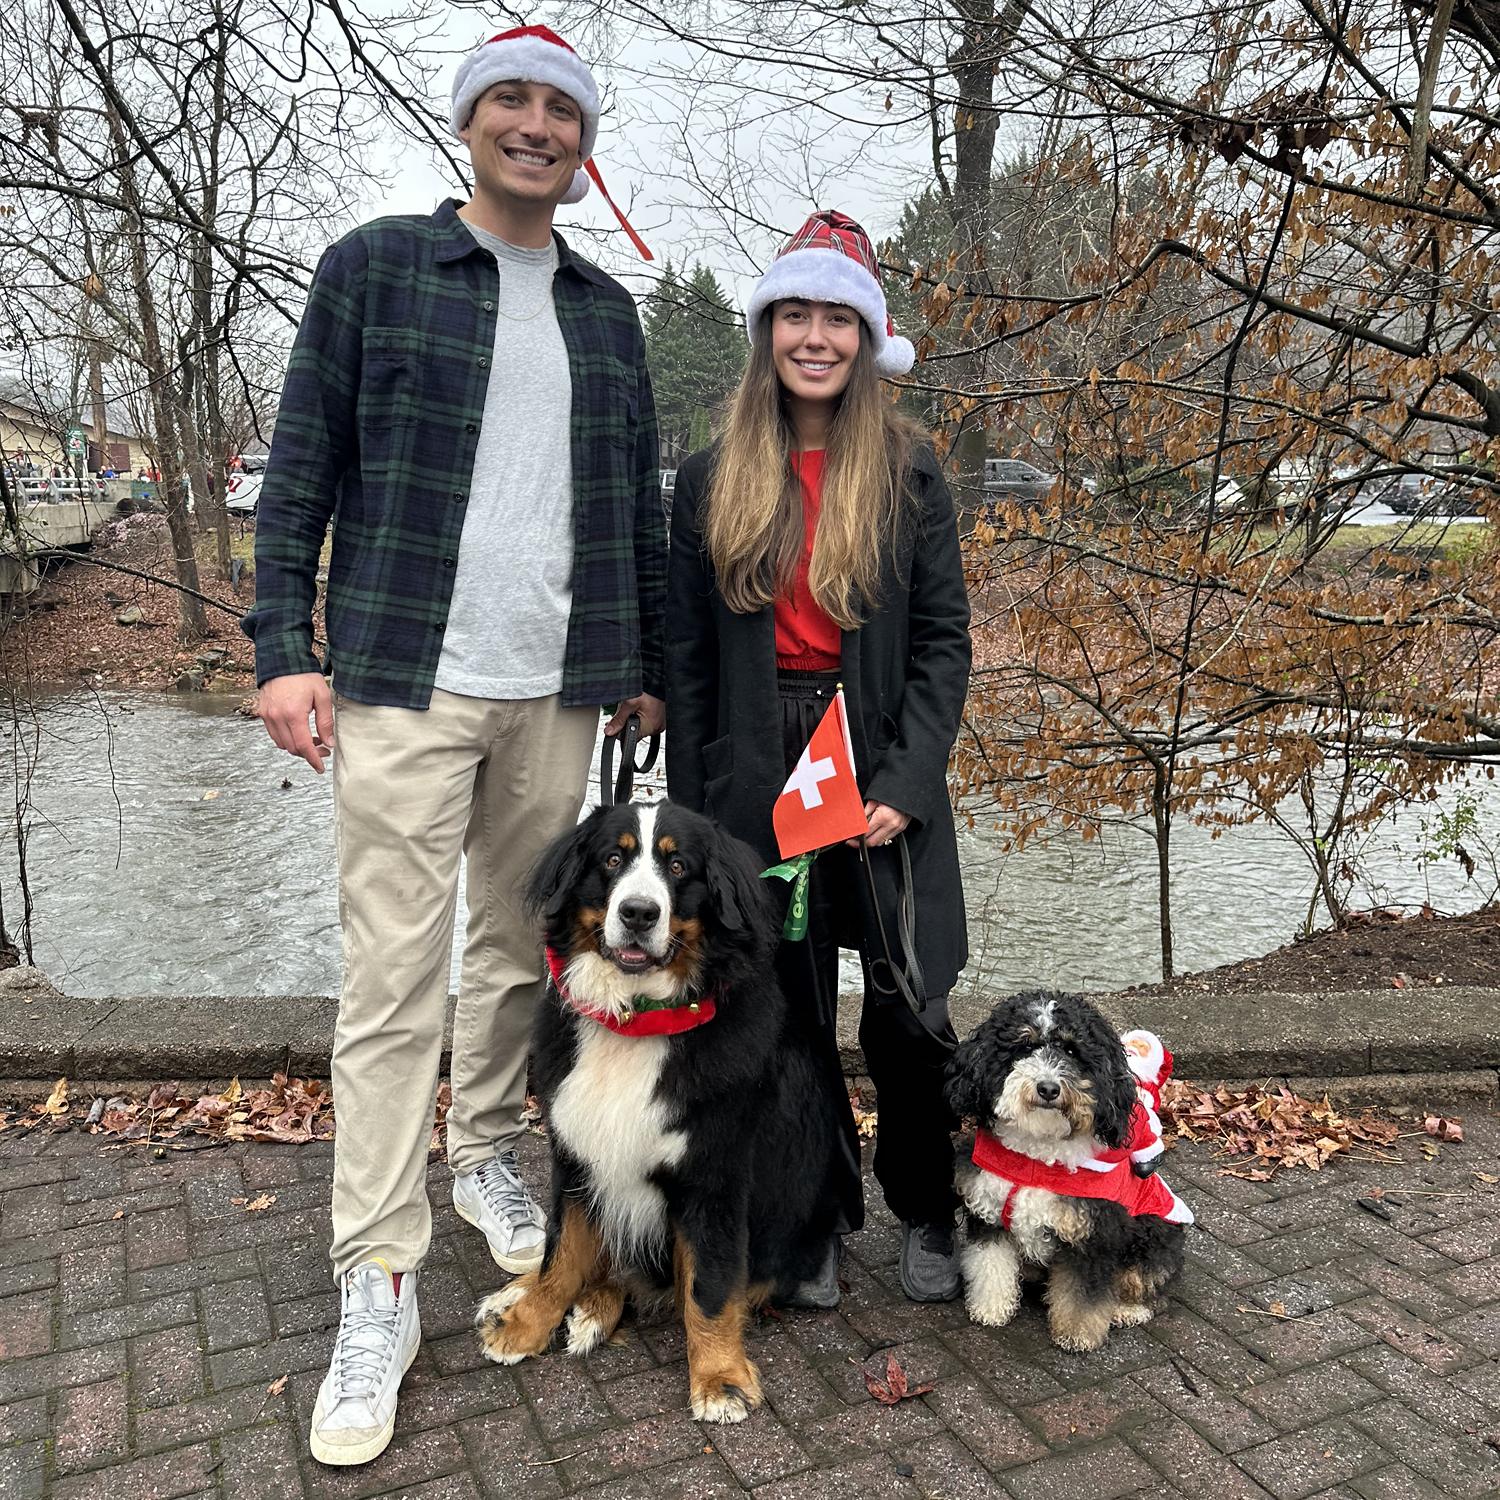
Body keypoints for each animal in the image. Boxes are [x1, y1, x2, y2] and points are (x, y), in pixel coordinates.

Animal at [471, 798, 846, 1416]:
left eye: (678, 867)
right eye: (612, 859)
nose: (640, 913)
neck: (636, 1020)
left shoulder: (714, 1176)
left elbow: (710, 1288)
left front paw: (719, 1377)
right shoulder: (577, 1156)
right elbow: (562, 1252)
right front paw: (528, 1322)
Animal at [942, 990, 1188, 1356]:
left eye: (1072, 1051)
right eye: (1024, 1046)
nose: (1048, 1088)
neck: (1037, 1159)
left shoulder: (1092, 1237)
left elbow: (1083, 1297)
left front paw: (1077, 1334)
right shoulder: (989, 1216)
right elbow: (990, 1269)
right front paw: (991, 1309)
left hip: (1156, 1233)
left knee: (1151, 1285)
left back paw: (1128, 1309)